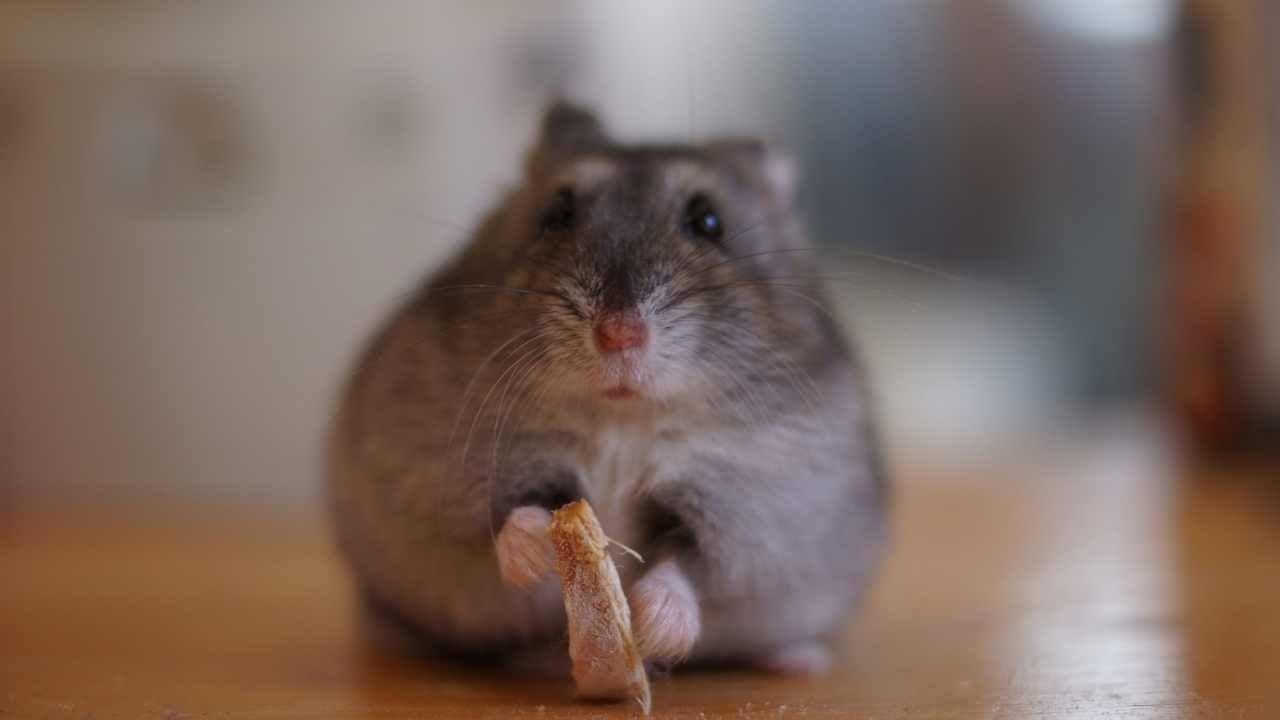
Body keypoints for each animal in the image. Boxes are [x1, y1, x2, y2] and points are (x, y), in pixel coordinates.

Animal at [327, 101, 886, 675]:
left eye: (709, 221)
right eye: (555, 213)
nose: (618, 334)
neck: (621, 416)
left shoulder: (753, 510)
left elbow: (689, 564)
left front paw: (654, 625)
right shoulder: (445, 479)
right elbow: (503, 521)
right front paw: (536, 551)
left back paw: (802, 660)